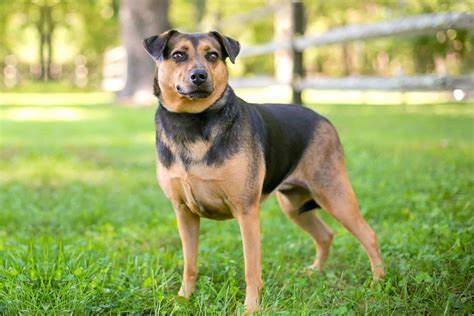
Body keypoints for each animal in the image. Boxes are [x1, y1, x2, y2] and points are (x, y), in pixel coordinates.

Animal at [143, 30, 384, 314]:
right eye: (178, 55)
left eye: (212, 55)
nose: (199, 76)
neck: (192, 121)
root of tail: (321, 117)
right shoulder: (184, 213)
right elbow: (189, 264)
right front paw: (183, 300)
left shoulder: (246, 211)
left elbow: (251, 268)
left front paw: (250, 307)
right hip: (293, 204)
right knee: (325, 234)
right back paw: (316, 271)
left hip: (333, 193)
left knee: (368, 235)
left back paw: (378, 283)